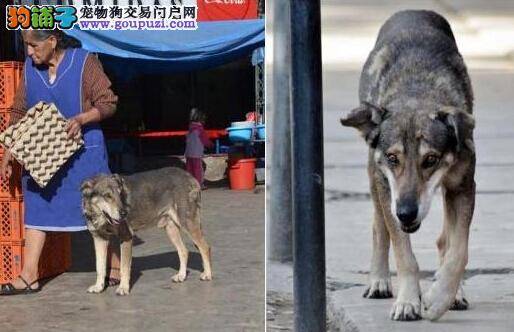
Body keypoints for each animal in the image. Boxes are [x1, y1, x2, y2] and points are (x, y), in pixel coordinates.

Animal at [79, 166, 211, 296]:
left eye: (120, 194)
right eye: (107, 196)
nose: (124, 213)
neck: (100, 216)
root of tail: (189, 176)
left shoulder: (126, 237)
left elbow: (124, 268)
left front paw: (123, 288)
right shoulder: (99, 239)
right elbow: (100, 267)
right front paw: (98, 287)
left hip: (188, 223)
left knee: (205, 247)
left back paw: (207, 274)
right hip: (171, 228)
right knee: (183, 251)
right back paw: (181, 275)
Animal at [338, 10, 474, 322]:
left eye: (431, 160)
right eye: (392, 158)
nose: (406, 213)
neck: (417, 93)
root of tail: (413, 11)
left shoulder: (463, 186)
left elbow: (458, 250)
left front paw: (440, 297)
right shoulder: (388, 189)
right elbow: (404, 254)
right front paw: (408, 301)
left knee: (444, 239)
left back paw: (455, 293)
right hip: (375, 181)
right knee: (379, 228)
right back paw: (378, 281)